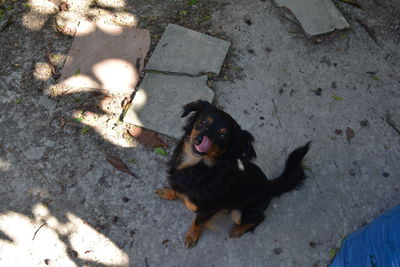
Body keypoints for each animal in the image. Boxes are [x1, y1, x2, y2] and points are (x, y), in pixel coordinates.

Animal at [154, 101, 310, 249]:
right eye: (203, 121)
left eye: (222, 136)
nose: (199, 140)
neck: (197, 169)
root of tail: (268, 185)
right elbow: (175, 190)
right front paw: (167, 192)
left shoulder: (206, 210)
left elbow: (197, 222)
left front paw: (191, 237)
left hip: (240, 214)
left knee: (260, 217)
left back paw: (238, 230)